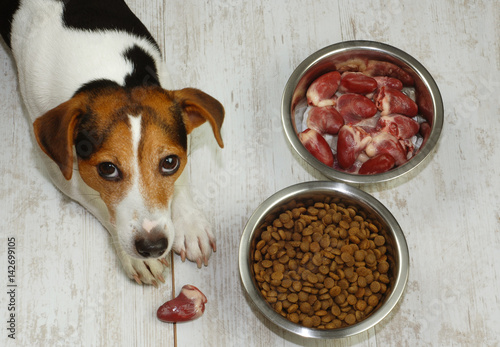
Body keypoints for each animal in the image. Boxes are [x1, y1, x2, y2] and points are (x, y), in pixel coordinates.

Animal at [0, 0, 226, 286]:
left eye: (169, 162)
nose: (152, 246)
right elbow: (99, 203)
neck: (104, 73)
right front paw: (137, 259)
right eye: (107, 169)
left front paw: (190, 224)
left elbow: (181, 181)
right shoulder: (62, 174)